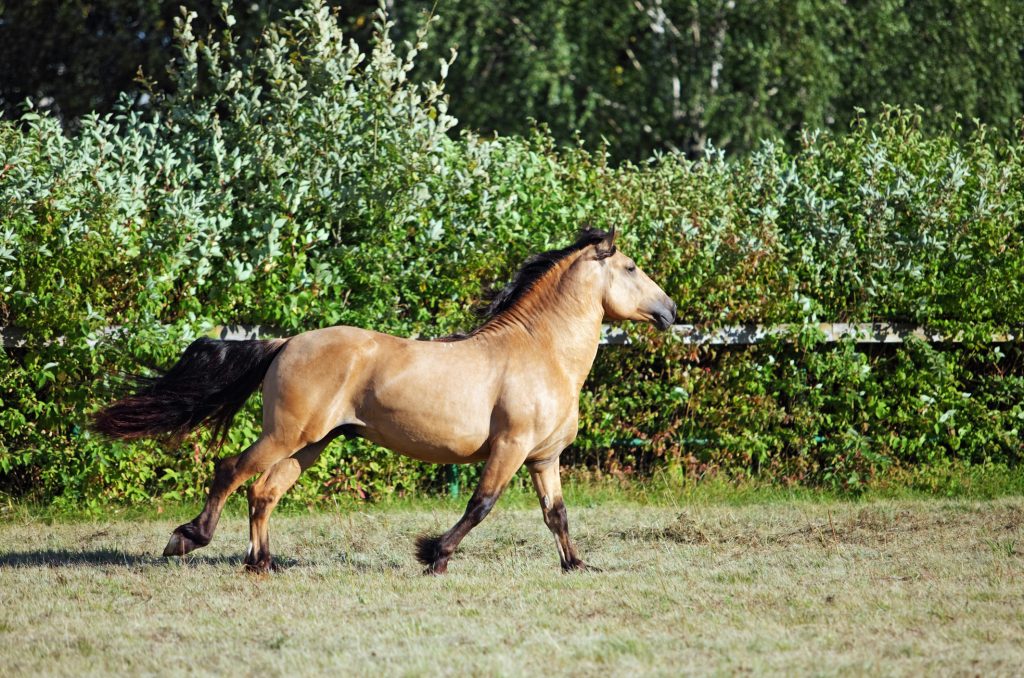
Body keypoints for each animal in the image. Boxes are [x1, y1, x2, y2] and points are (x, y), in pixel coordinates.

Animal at [92, 228, 675, 573]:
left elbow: (557, 514)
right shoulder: (509, 449)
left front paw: (576, 566)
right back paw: (188, 538)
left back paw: (263, 562)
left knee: (264, 490)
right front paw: (433, 555)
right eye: (630, 268)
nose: (669, 311)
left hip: (312, 443)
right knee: (232, 469)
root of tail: (286, 343)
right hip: (287, 433)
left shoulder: (542, 458)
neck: (540, 351)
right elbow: (480, 505)